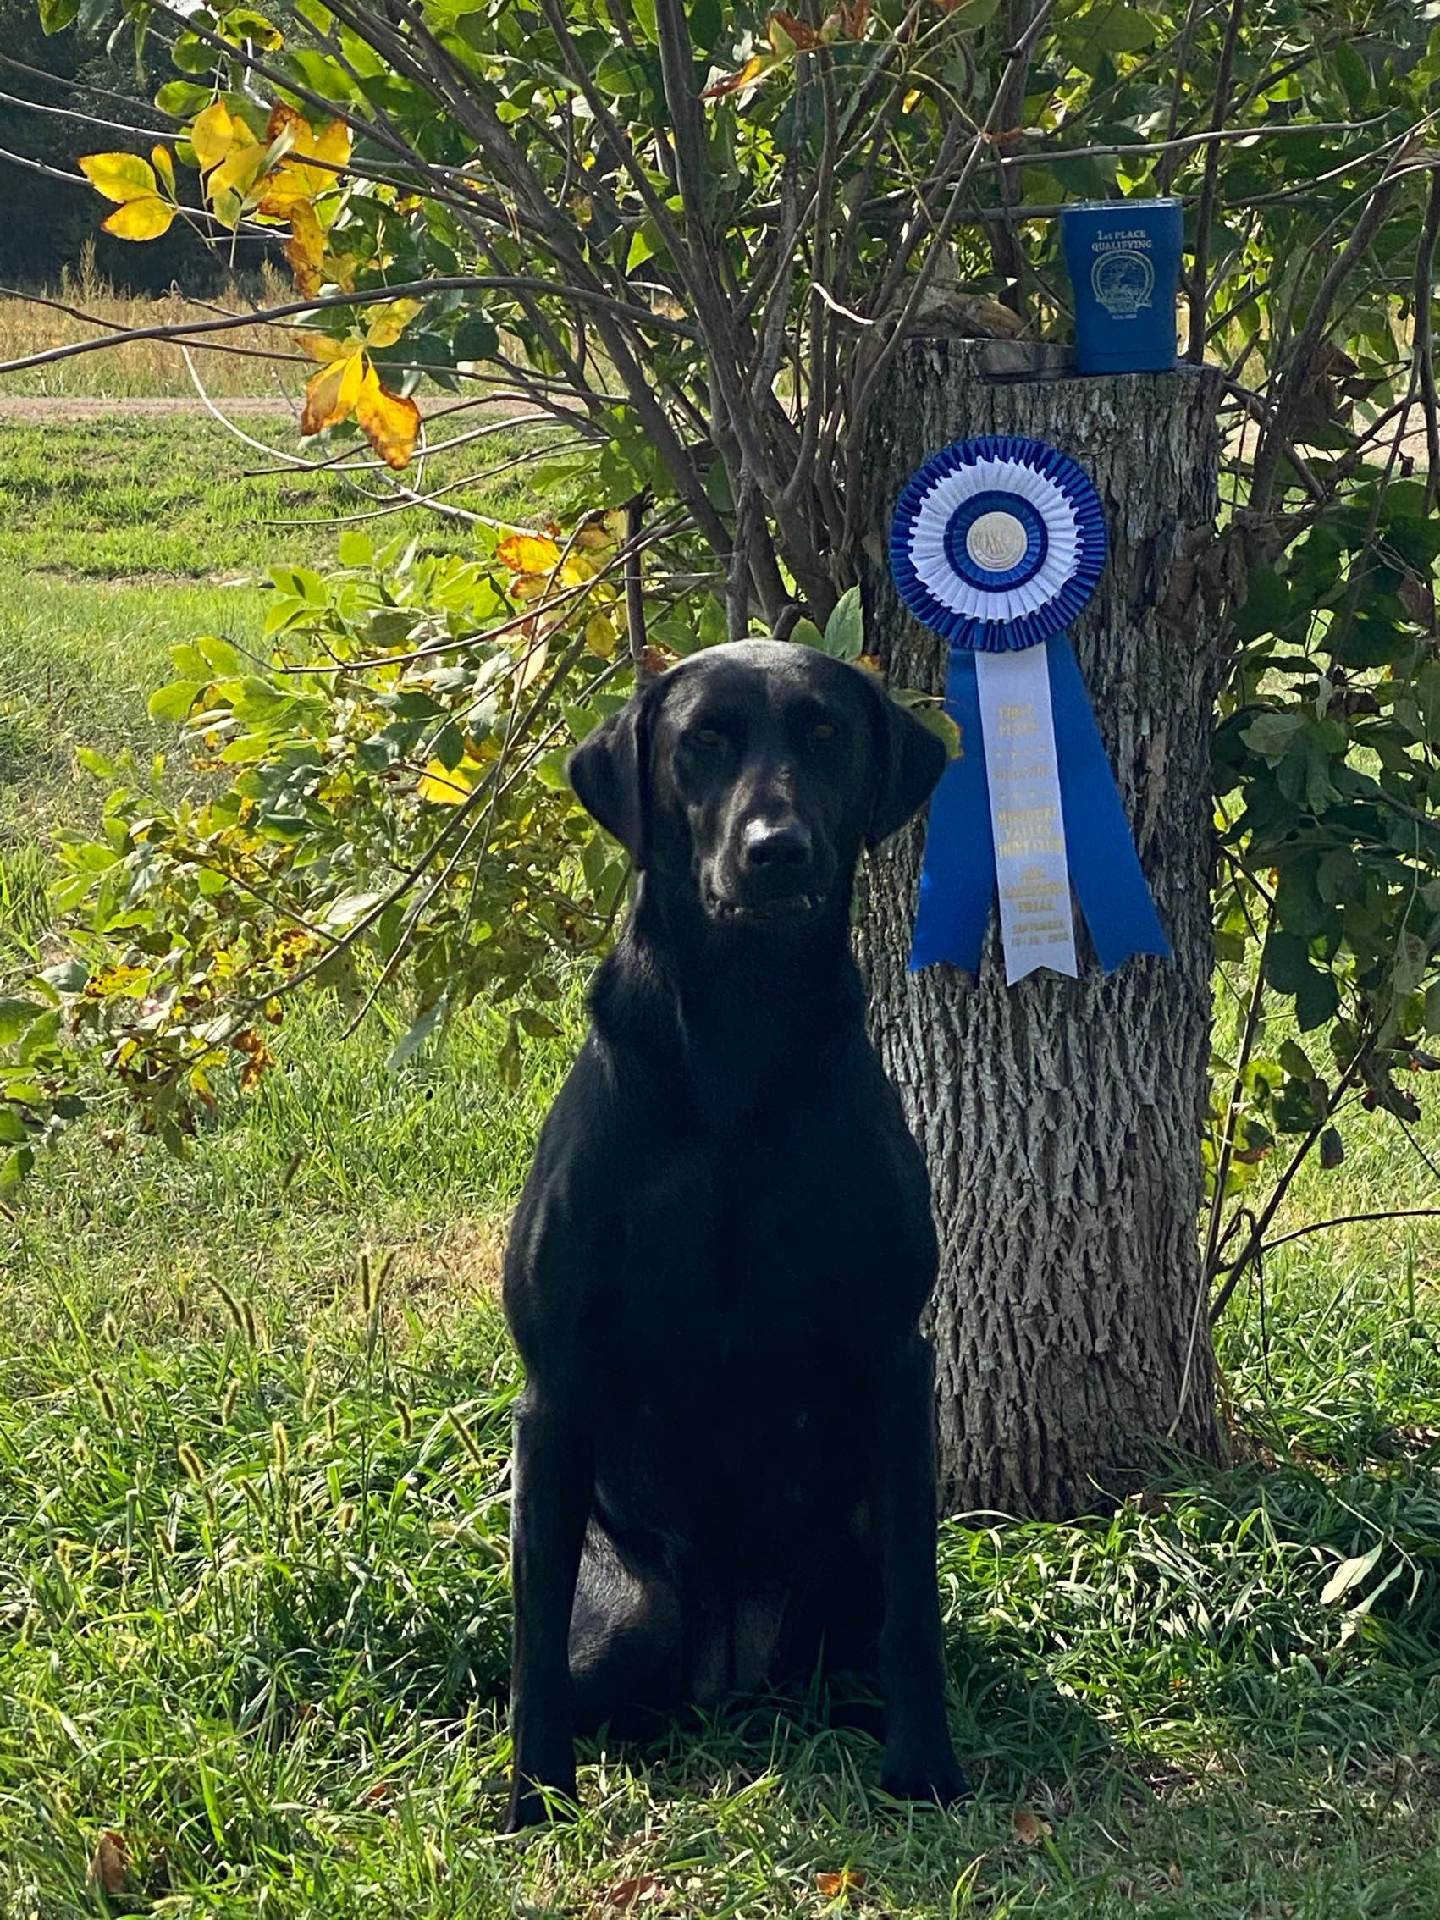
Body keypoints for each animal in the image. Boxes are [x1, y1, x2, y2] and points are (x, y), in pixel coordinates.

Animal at [503, 633, 963, 1827]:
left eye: (826, 733)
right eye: (702, 739)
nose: (777, 852)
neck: (739, 1046)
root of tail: (730, 1677)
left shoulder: (894, 1360)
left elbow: (917, 1612)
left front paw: (928, 1770)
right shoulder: (555, 1388)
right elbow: (532, 1631)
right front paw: (532, 1797)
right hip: (634, 1610)